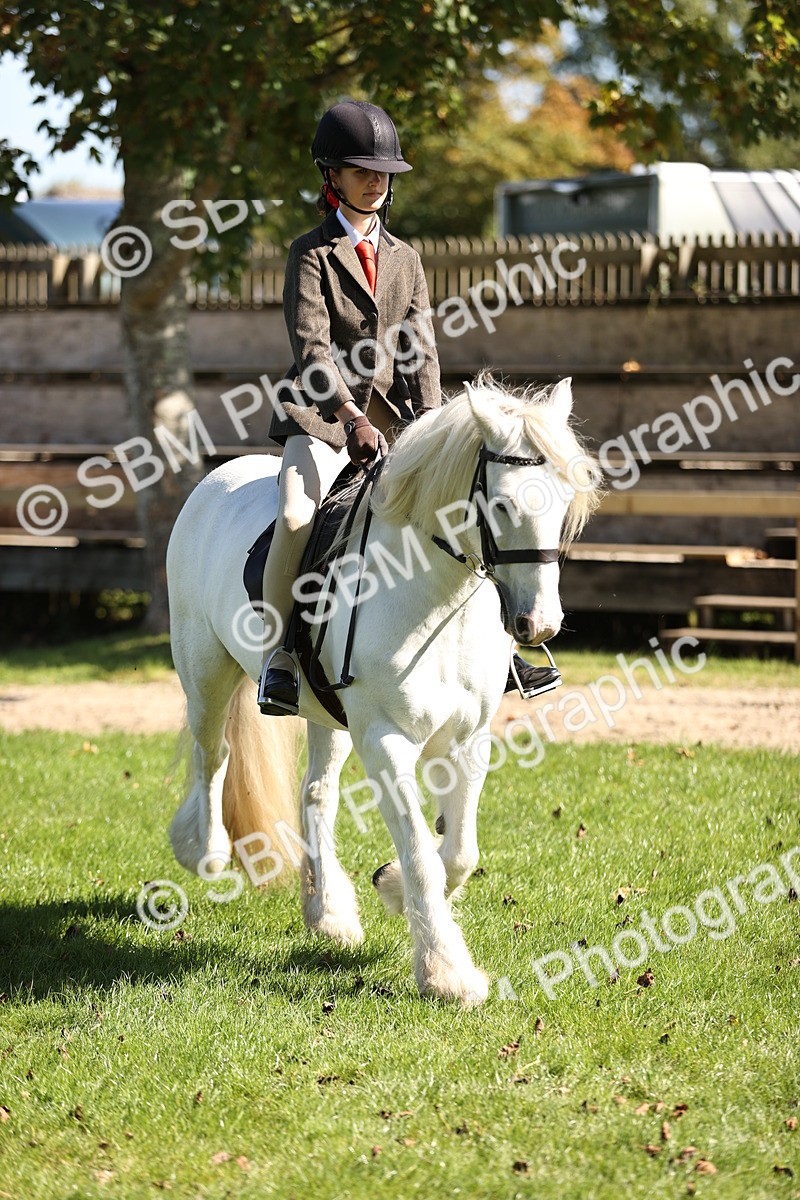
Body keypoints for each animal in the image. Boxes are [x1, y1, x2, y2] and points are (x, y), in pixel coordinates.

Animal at [166, 376, 601, 1005]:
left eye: (566, 503)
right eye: (502, 506)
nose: (538, 624)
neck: (437, 599)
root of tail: (216, 479)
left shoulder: (469, 740)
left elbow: (459, 852)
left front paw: (391, 889)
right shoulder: (386, 740)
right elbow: (423, 852)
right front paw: (447, 973)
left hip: (325, 714)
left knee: (316, 793)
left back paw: (328, 914)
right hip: (205, 672)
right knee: (212, 754)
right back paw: (205, 851)